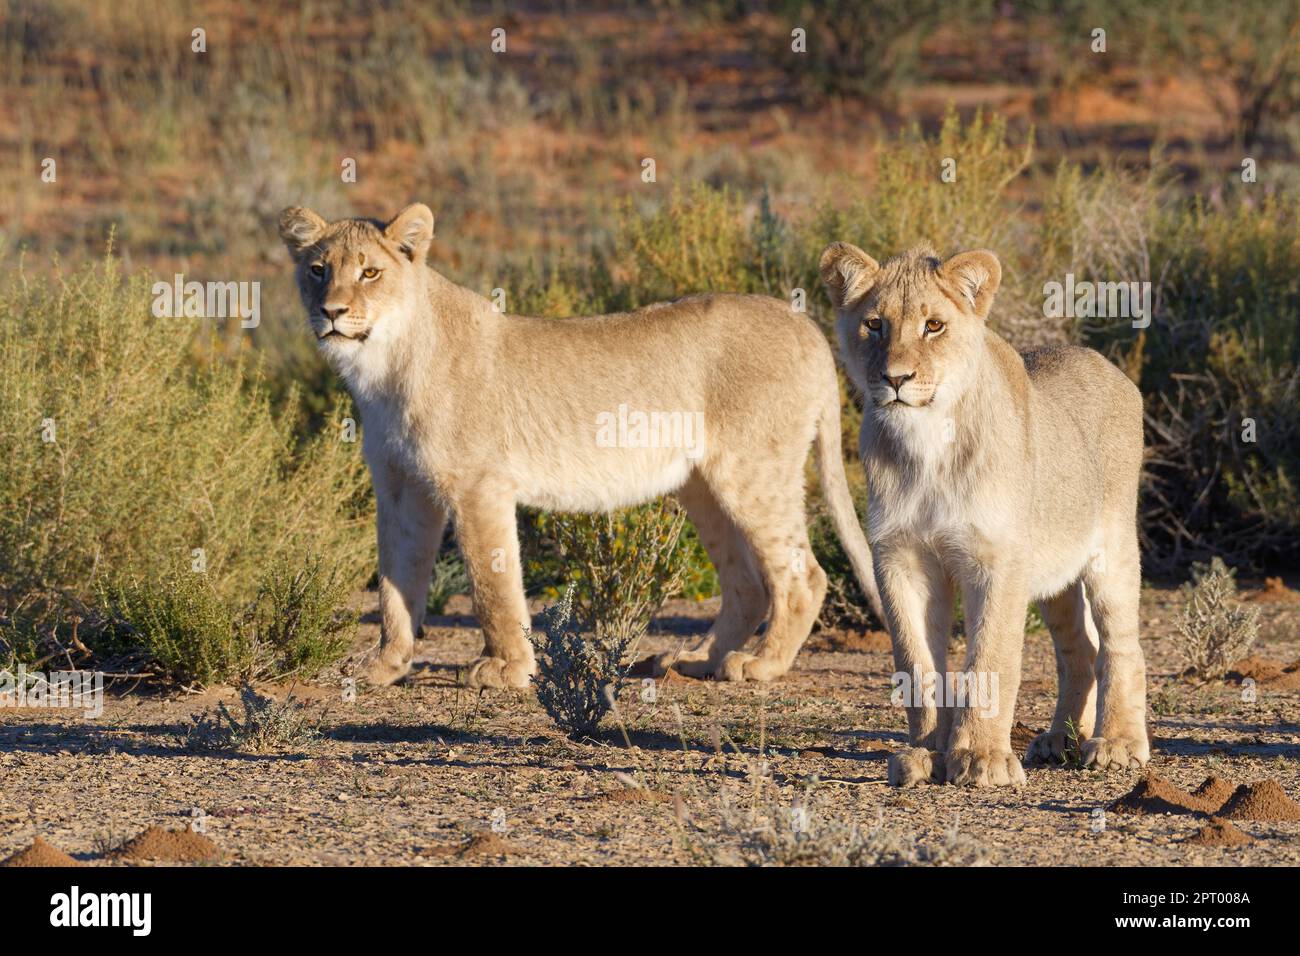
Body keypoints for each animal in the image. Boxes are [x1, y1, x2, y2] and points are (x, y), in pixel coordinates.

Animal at [274, 205, 883, 691]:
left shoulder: (478, 484)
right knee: (746, 582)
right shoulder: (401, 488)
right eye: (318, 270)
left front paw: (506, 669)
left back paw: (758, 665)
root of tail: (805, 324)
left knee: (803, 575)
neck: (382, 365)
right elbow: (395, 582)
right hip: (701, 485)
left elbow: (492, 582)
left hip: (752, 471)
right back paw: (698, 660)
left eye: (370, 272)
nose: (331, 311)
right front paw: (384, 665)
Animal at [821, 243, 1149, 790]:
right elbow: (916, 661)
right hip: (1054, 574)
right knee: (1078, 649)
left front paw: (980, 757)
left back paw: (1116, 744)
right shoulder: (901, 558)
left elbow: (991, 658)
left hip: (1113, 546)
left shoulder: (997, 560)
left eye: (933, 325)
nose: (895, 378)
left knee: (1121, 645)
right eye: (874, 325)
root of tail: (1104, 362)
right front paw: (926, 753)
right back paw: (1060, 739)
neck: (927, 441)